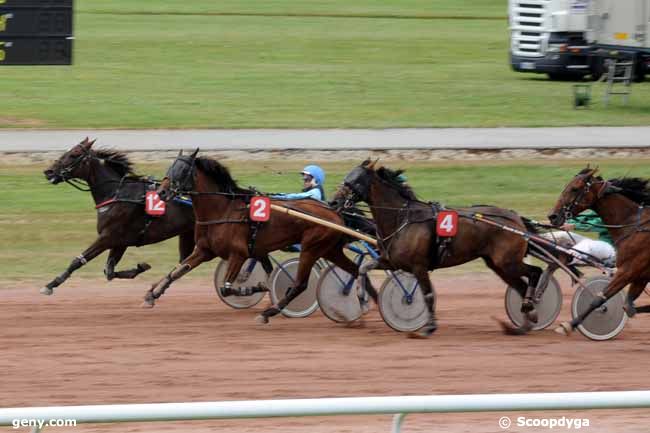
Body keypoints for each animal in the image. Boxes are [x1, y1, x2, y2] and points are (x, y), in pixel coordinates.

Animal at [41, 138, 195, 294]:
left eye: (74, 154)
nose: (49, 171)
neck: (116, 194)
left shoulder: (108, 237)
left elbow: (78, 260)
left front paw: (51, 284)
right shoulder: (121, 242)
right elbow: (109, 271)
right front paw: (141, 267)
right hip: (187, 232)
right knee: (184, 261)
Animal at [144, 150, 372, 322]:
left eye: (182, 171)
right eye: (170, 167)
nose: (161, 192)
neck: (224, 210)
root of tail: (335, 213)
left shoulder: (239, 254)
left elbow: (227, 288)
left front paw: (259, 287)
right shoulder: (205, 250)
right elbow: (177, 271)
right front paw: (152, 293)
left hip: (311, 247)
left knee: (300, 284)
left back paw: (269, 313)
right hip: (329, 249)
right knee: (356, 270)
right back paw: (362, 302)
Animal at [330, 160, 540, 336]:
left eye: (354, 182)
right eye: (346, 179)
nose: (333, 202)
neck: (402, 219)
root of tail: (516, 218)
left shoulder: (419, 266)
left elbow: (428, 294)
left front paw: (429, 327)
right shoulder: (391, 261)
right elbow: (362, 268)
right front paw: (362, 300)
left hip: (507, 261)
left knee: (535, 272)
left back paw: (530, 307)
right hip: (497, 264)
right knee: (521, 286)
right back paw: (525, 322)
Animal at [548, 168, 650, 334]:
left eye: (574, 188)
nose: (553, 216)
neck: (634, 225)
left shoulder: (629, 270)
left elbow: (599, 299)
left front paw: (569, 325)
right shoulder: (641, 275)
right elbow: (627, 306)